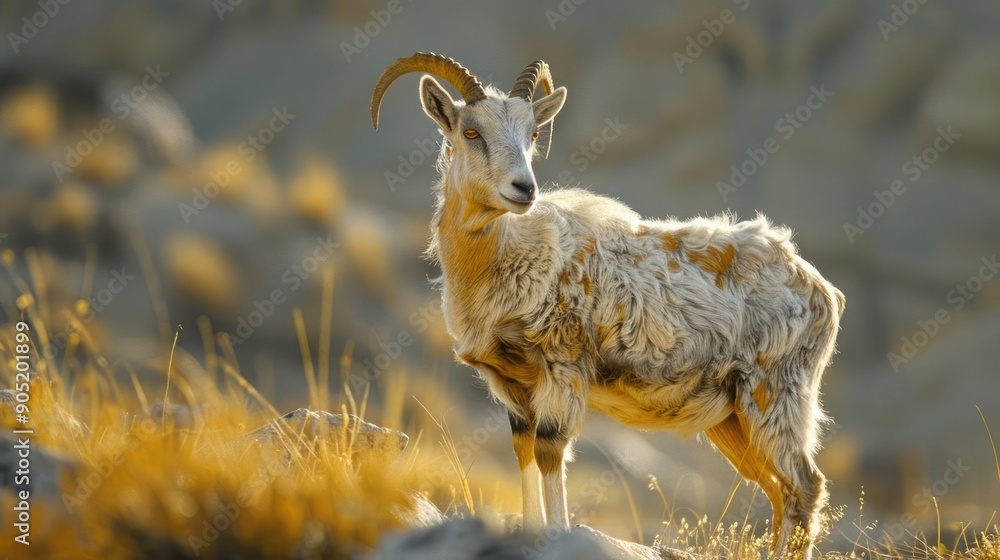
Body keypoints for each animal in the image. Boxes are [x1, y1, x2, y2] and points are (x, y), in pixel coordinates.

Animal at [371, 52, 844, 559]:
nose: (524, 189)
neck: (512, 260)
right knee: (778, 491)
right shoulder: (511, 384)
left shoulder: (563, 366)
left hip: (776, 391)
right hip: (733, 415)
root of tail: (823, 290)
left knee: (804, 486)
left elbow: (550, 450)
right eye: (472, 132)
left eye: (533, 133)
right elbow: (523, 451)